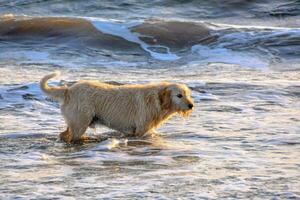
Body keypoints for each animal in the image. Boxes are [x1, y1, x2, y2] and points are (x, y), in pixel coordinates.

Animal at [40, 71, 195, 143]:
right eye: (179, 95)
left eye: (188, 94)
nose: (191, 105)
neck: (157, 99)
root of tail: (69, 90)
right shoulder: (140, 129)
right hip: (80, 123)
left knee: (64, 134)